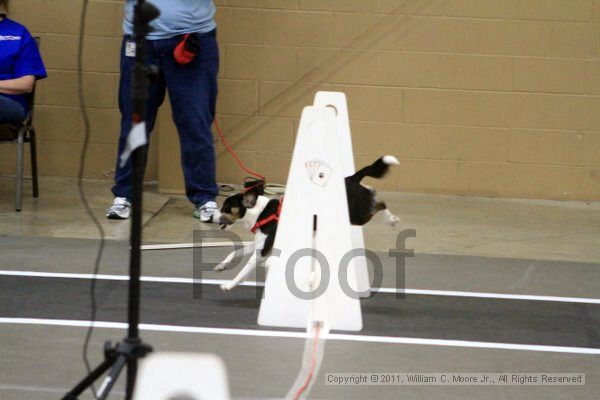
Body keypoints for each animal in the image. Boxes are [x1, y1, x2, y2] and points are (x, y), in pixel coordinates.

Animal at [213, 155, 400, 290]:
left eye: (226, 208)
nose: (211, 217)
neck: (261, 212)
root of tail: (352, 178)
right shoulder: (259, 244)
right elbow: (235, 253)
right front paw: (222, 266)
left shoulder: (262, 250)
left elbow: (244, 270)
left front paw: (229, 285)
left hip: (358, 214)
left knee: (379, 202)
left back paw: (392, 219)